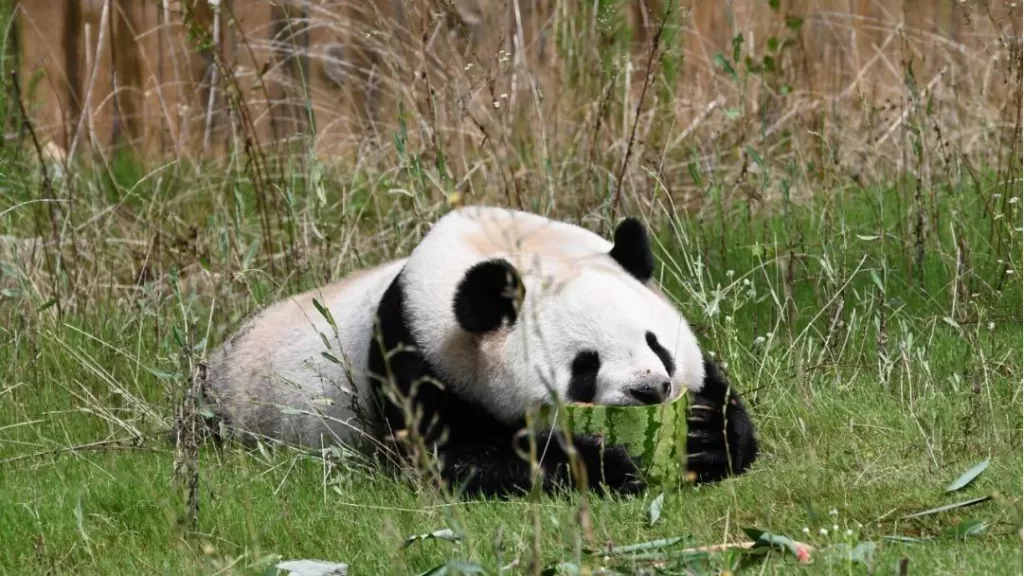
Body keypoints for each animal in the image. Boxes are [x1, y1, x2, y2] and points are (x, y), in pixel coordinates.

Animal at [202, 205, 758, 497]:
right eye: (585, 365)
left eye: (657, 345)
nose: (651, 390)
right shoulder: (416, 359)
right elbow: (454, 460)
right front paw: (607, 461)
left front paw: (705, 433)